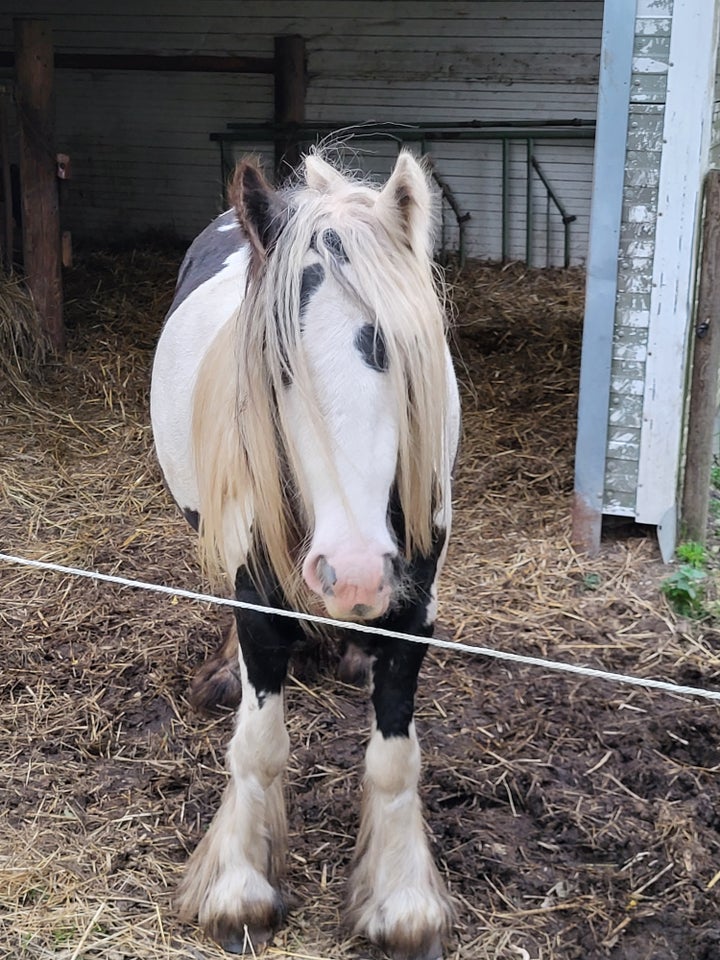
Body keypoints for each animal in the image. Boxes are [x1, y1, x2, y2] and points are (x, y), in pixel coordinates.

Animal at [150, 150, 462, 960]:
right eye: (277, 365)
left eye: (400, 355)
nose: (352, 571)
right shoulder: (257, 593)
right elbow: (259, 745)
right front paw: (239, 892)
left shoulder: (414, 603)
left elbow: (393, 755)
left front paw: (402, 904)